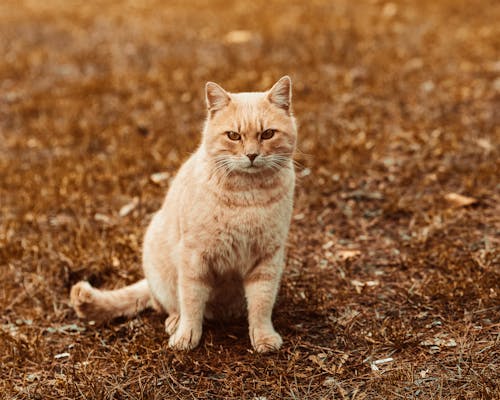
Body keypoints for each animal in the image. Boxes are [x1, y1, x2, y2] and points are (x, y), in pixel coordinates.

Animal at [70, 76, 296, 354]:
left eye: (267, 134)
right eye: (234, 136)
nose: (252, 155)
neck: (248, 197)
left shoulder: (267, 259)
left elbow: (261, 303)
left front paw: (263, 337)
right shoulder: (194, 258)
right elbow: (191, 301)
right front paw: (186, 336)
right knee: (165, 304)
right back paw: (174, 321)